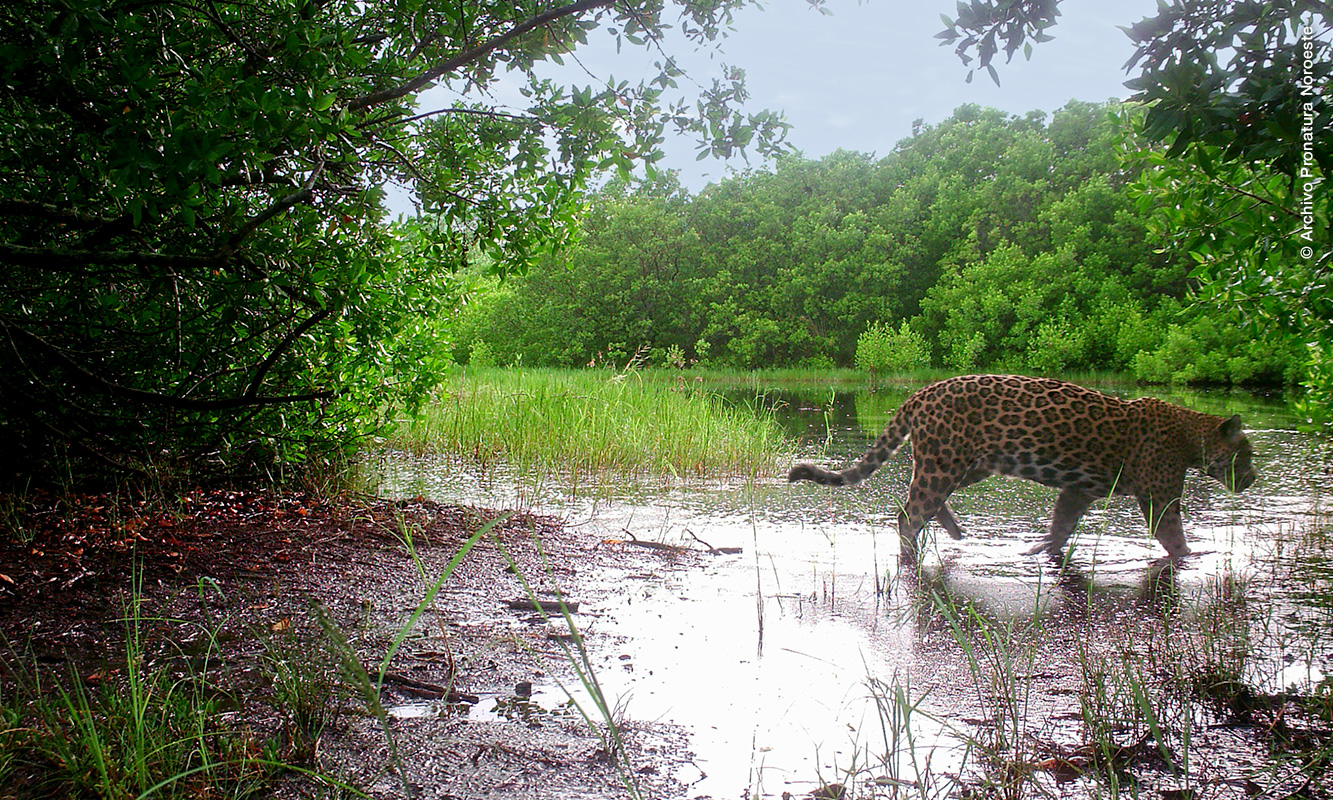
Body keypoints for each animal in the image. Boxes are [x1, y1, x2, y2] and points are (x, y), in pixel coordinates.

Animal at [787, 374, 1256, 559]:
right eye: (1246, 454)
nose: (1252, 479)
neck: (1191, 433)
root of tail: (920, 393)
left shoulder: (1079, 489)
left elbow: (1062, 523)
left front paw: (1040, 549)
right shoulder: (1160, 497)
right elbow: (1173, 536)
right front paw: (1193, 557)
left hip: (967, 464)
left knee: (922, 502)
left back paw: (955, 532)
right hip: (945, 462)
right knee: (908, 514)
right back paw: (911, 554)